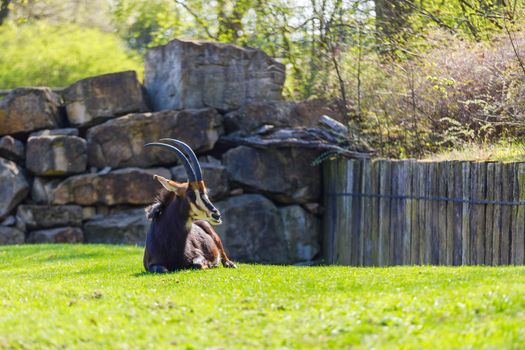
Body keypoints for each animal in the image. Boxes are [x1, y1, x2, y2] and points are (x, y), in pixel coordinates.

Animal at [141, 138, 235, 272]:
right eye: (191, 194)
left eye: (205, 192)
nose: (216, 215)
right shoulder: (151, 265)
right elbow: (162, 269)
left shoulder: (198, 255)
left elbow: (197, 264)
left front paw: (209, 264)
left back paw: (228, 264)